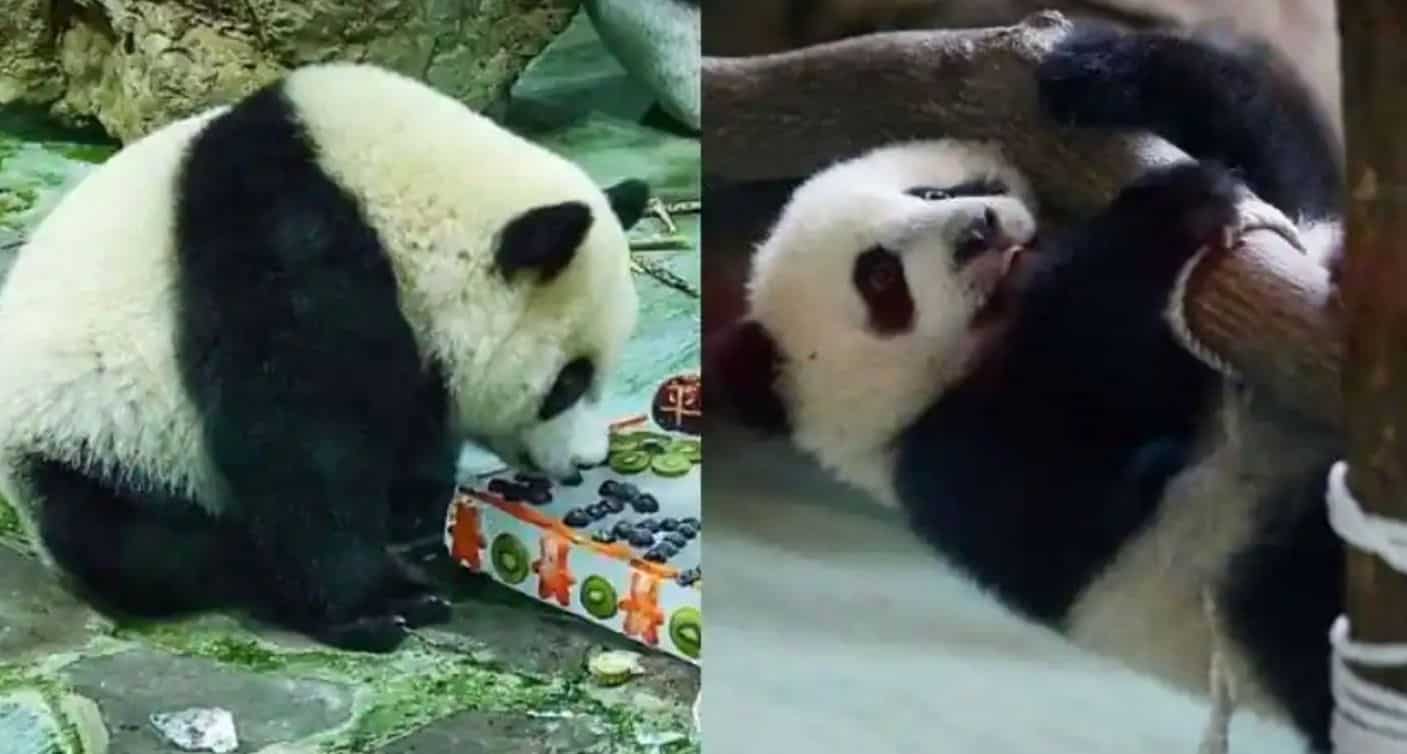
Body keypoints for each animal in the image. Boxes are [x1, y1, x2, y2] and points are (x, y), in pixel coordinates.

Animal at [0, 62, 649, 654]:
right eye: (567, 383)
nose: (587, 462)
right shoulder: (284, 246)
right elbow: (294, 438)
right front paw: (376, 605)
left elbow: (409, 426)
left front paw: (415, 525)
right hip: (96, 442)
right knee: (140, 545)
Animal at [706, 24, 1344, 752]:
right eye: (879, 279)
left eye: (930, 193)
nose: (976, 232)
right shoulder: (948, 472)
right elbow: (1067, 470)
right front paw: (1169, 213)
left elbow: (1289, 171)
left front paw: (1101, 67)